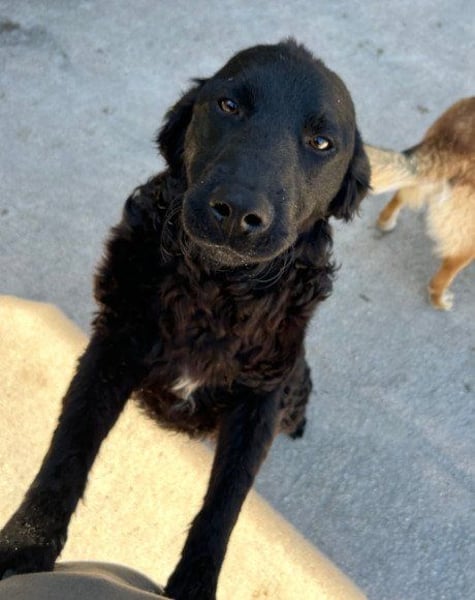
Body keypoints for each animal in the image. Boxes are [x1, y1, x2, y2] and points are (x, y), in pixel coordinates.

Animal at [0, 40, 370, 599]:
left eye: (322, 142)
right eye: (229, 105)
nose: (237, 211)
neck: (214, 287)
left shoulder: (259, 400)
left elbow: (224, 504)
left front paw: (194, 584)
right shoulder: (114, 345)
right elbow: (66, 453)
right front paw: (23, 546)